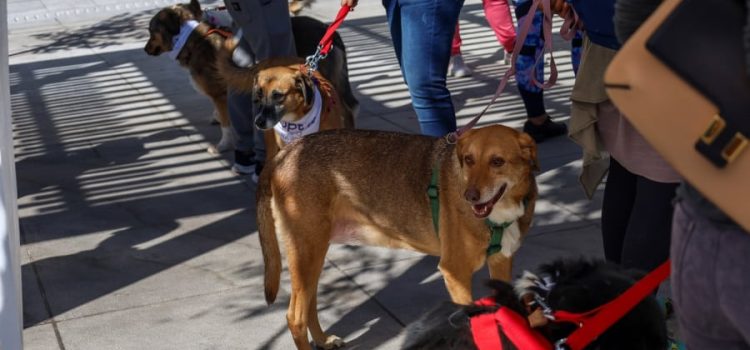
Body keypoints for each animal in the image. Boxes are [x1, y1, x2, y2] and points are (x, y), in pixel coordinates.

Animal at [258, 126, 540, 350]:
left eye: (497, 161)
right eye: (469, 160)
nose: (469, 196)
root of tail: (283, 154)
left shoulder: (501, 262)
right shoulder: (456, 272)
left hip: (313, 255)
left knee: (309, 305)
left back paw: (323, 340)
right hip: (306, 252)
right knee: (295, 317)